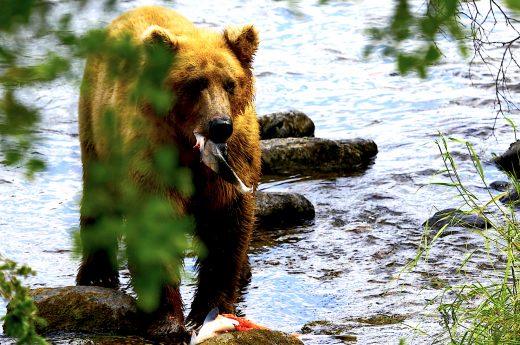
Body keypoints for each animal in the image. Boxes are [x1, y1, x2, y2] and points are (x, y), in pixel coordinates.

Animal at [75, 5, 262, 338]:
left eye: (230, 83)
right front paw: (168, 322)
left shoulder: (235, 157)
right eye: (195, 83)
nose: (220, 125)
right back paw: (97, 275)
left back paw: (244, 271)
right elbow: (154, 221)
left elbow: (226, 223)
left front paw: (208, 310)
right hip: (98, 128)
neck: (190, 144)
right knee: (99, 192)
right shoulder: (153, 150)